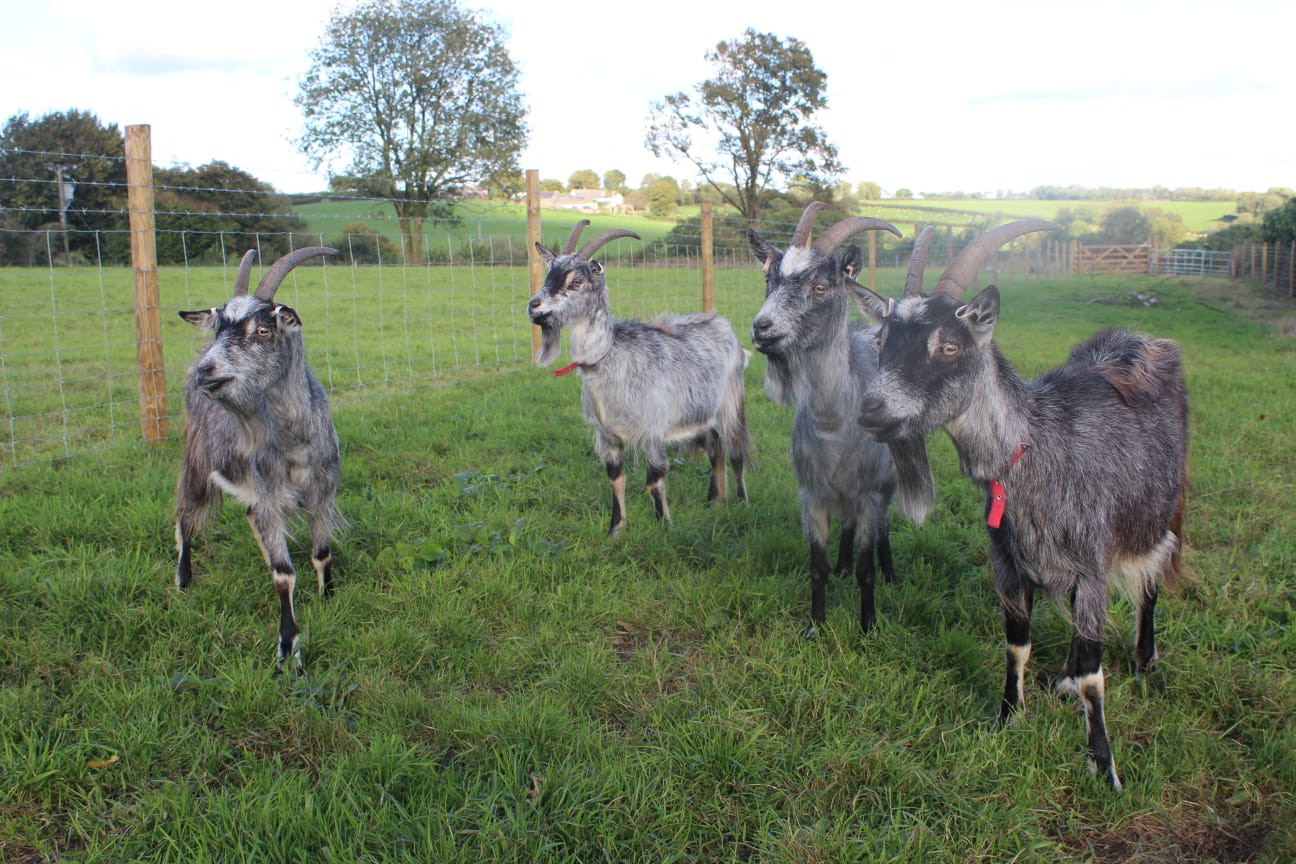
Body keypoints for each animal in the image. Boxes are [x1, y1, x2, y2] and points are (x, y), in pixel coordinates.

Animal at [175, 246, 343, 675]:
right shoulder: (269, 493)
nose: (207, 372)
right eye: (218, 327)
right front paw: (289, 650)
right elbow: (284, 576)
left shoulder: (322, 493)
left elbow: (321, 553)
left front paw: (329, 597)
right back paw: (183, 579)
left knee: (250, 517)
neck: (295, 441)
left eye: (264, 329)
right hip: (196, 458)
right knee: (185, 514)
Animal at [528, 220, 750, 535]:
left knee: (736, 449)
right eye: (549, 275)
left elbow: (654, 481)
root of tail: (722, 322)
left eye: (576, 282)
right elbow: (615, 480)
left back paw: (742, 501)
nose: (534, 306)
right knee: (716, 446)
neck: (609, 359)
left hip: (731, 400)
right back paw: (715, 502)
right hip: (698, 412)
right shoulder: (607, 436)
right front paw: (616, 530)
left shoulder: (652, 430)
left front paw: (664, 527)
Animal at [749, 203, 934, 640]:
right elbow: (817, 566)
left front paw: (868, 626)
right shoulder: (812, 496)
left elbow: (868, 568)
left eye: (820, 286)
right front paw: (815, 626)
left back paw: (889, 573)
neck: (833, 425)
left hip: (886, 483)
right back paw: (844, 562)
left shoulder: (869, 495)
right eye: (769, 278)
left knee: (882, 529)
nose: (762, 328)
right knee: (848, 526)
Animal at [852, 220, 1189, 790]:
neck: (1035, 449)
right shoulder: (1008, 562)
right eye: (882, 340)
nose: (871, 410)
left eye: (949, 346)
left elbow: (1097, 675)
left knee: (1151, 582)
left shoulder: (1092, 561)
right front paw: (1008, 718)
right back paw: (1065, 677)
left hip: (1162, 508)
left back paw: (1145, 661)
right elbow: (1017, 644)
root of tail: (1140, 337)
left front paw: (1104, 767)